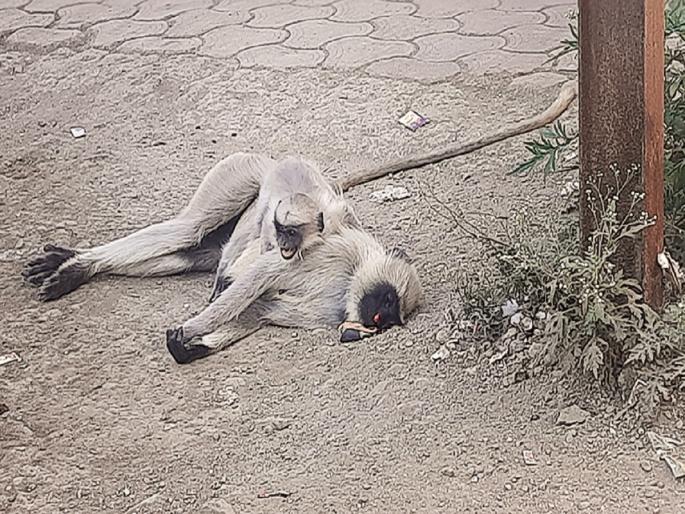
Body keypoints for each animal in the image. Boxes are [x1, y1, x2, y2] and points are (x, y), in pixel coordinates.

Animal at [165, 225, 423, 364]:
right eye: (388, 300)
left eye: (389, 323)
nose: (379, 318)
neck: (348, 283)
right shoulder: (339, 253)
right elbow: (261, 276)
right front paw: (189, 329)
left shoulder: (333, 312)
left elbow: (262, 310)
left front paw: (191, 349)